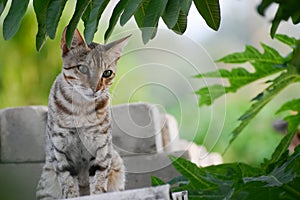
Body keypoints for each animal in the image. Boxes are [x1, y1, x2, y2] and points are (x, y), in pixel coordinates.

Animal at [35, 27, 129, 199]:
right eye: (83, 68)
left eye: (107, 73)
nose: (96, 88)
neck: (82, 107)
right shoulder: (60, 149)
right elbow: (68, 183)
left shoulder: (101, 147)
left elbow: (99, 180)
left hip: (117, 163)